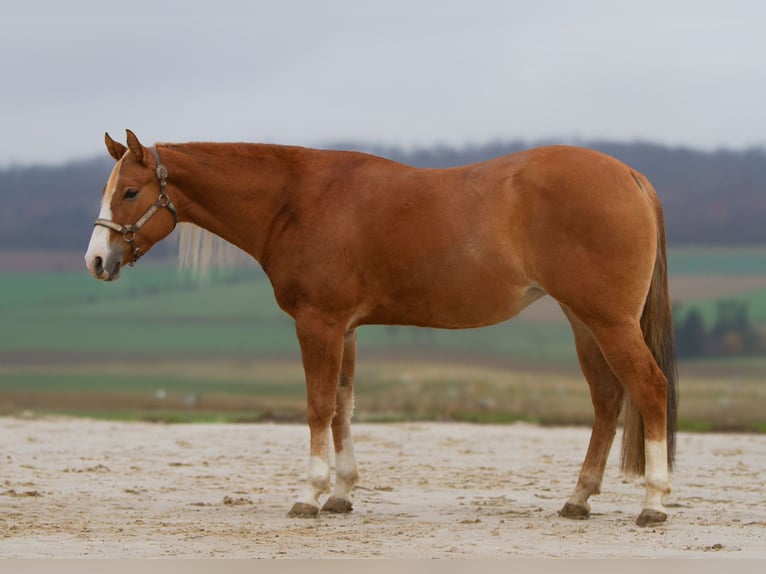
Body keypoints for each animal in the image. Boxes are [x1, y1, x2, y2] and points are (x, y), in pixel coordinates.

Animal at [85, 130, 677, 526]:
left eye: (131, 193)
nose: (96, 261)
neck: (295, 201)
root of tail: (631, 176)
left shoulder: (319, 323)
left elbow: (317, 407)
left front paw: (310, 495)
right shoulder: (345, 328)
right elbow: (342, 406)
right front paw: (342, 493)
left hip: (609, 321)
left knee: (649, 389)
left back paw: (652, 501)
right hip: (584, 320)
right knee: (607, 399)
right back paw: (578, 499)